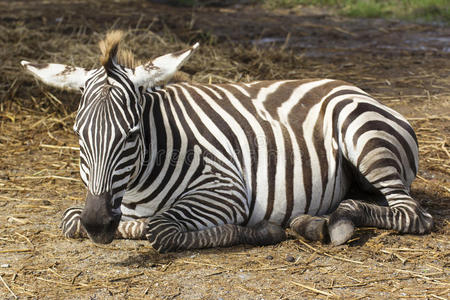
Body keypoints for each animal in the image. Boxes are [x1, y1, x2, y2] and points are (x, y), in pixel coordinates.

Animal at [22, 30, 432, 252]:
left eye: (132, 135)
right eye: (78, 135)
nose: (98, 224)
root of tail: (353, 87)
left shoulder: (226, 189)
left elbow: (162, 229)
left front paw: (262, 231)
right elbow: (71, 220)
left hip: (364, 137)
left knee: (412, 215)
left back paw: (337, 221)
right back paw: (314, 222)